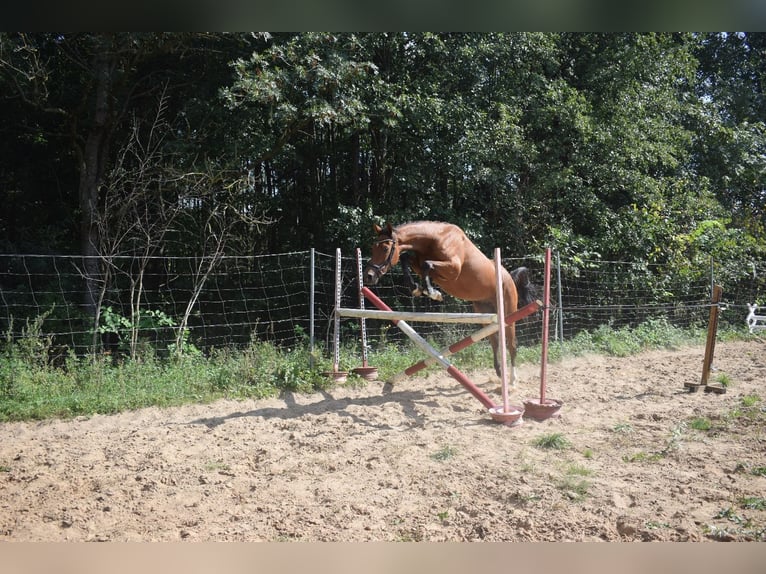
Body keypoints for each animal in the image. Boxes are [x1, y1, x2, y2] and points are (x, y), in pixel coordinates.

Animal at [364, 220, 536, 388]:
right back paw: (499, 372)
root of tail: (509, 275)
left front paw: (432, 292)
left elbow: (427, 264)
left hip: (508, 314)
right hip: (485, 311)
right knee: (495, 342)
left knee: (512, 344)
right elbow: (407, 258)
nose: (369, 276)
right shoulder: (419, 264)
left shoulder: (453, 268)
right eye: (372, 248)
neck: (436, 239)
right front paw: (417, 288)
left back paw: (512, 380)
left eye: (385, 248)